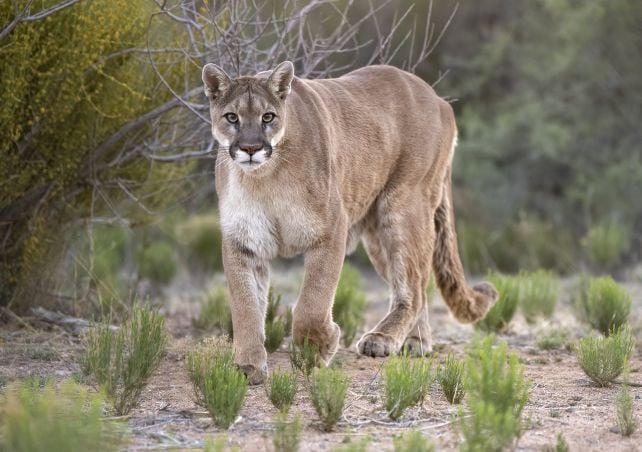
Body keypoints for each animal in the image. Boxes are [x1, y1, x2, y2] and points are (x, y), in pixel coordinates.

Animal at [202, 61, 498, 384]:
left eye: (268, 116)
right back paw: (415, 342)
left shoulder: (331, 229)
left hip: (403, 206)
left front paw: (319, 347)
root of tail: (438, 99)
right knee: (415, 282)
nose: (251, 148)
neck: (264, 178)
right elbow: (245, 306)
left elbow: (313, 301)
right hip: (378, 237)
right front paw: (248, 366)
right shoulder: (242, 241)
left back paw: (381, 339)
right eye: (232, 117)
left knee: (414, 287)